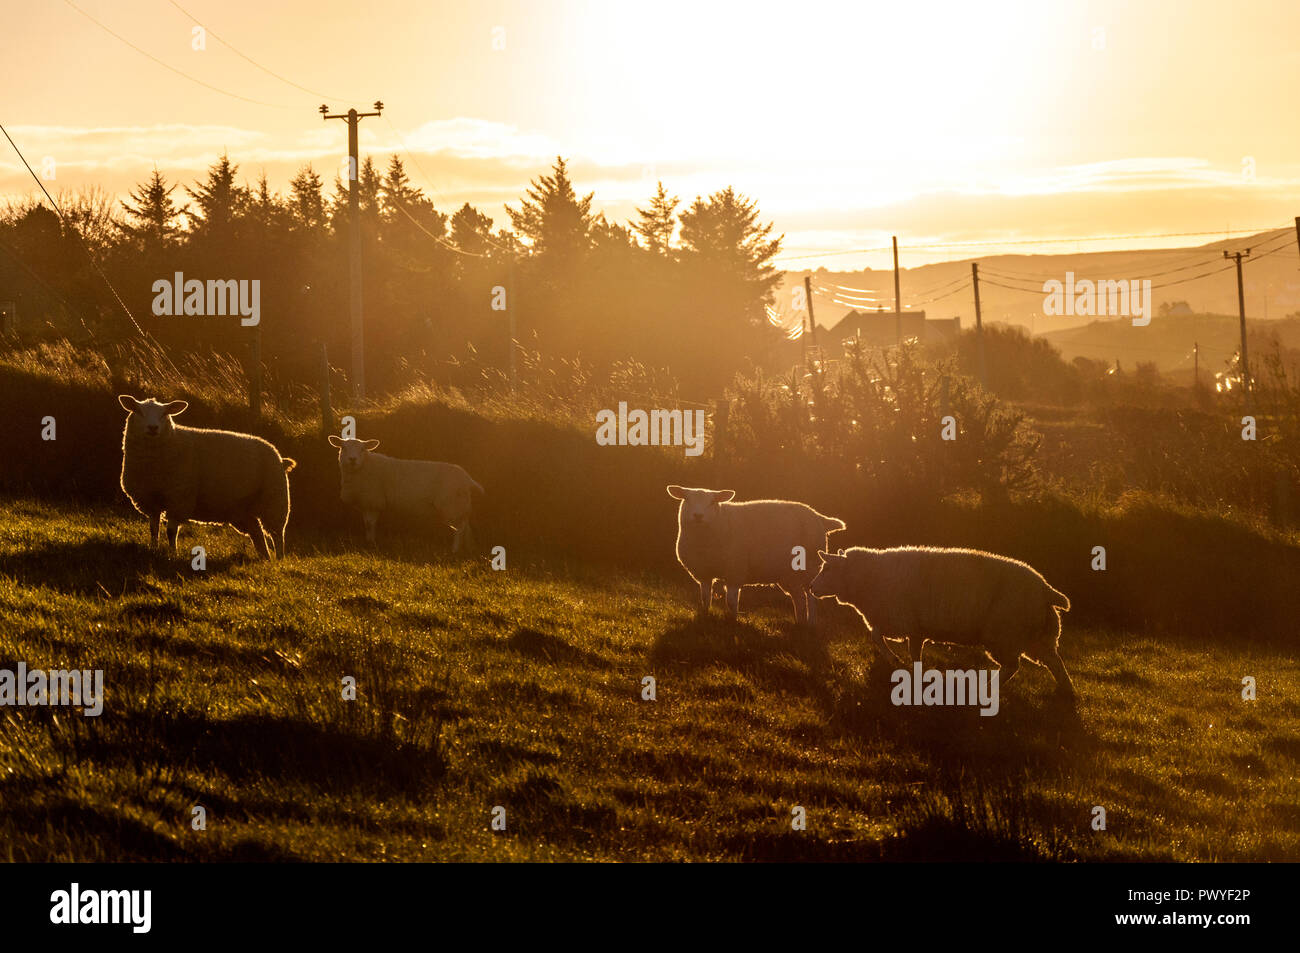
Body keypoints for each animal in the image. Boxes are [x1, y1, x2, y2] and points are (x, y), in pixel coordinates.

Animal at [118, 395, 297, 556]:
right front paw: (154, 549)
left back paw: (278, 560)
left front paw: (172, 553)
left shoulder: (179, 499)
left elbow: (171, 531)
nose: (153, 427)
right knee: (257, 533)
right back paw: (264, 558)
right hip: (242, 510)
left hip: (275, 501)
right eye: (138, 411)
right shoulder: (150, 500)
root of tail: (280, 458)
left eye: (164, 414)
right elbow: (153, 529)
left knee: (277, 535)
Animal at [327, 436, 486, 551]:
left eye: (362, 449)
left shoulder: (373, 502)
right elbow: (367, 525)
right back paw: (469, 548)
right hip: (460, 504)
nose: (352, 459)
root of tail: (467, 478)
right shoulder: (367, 504)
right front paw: (368, 541)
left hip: (450, 504)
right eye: (343, 447)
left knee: (459, 529)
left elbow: (369, 524)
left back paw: (455, 550)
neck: (364, 467)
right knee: (465, 526)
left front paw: (371, 543)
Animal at [665, 483, 847, 624]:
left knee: (811, 597)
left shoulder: (735, 571)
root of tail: (818, 517)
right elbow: (705, 597)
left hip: (810, 568)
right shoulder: (704, 573)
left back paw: (811, 623)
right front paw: (705, 615)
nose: (698, 516)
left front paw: (732, 621)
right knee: (799, 598)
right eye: (687, 499)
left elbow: (731, 601)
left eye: (712, 502)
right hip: (789, 575)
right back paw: (799, 623)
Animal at [811, 546, 1076, 696]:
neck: (866, 578)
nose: (812, 588)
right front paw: (915, 672)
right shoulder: (913, 626)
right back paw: (1067, 692)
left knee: (1013, 666)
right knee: (1055, 662)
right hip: (1037, 637)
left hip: (1004, 634)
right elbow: (912, 650)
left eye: (827, 569)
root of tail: (1046, 589)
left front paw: (894, 660)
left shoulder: (899, 619)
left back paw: (988, 687)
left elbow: (876, 636)